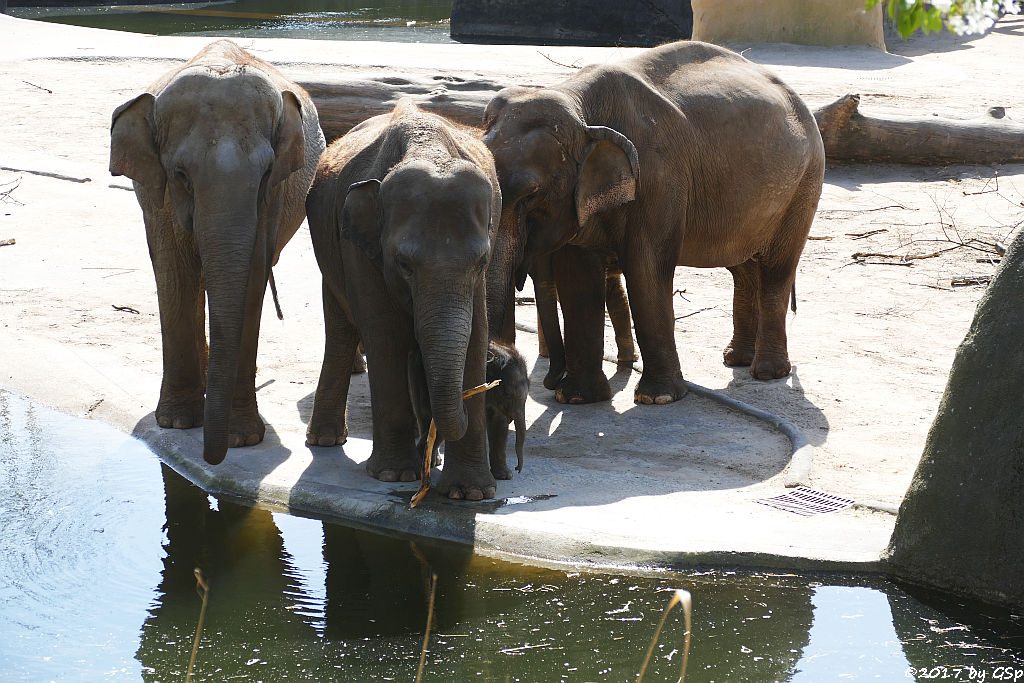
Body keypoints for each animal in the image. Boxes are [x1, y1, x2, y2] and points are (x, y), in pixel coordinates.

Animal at [109, 40, 323, 466]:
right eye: (181, 176)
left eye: (266, 173)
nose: (213, 458)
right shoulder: (156, 194)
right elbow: (174, 271)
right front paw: (176, 423)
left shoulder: (272, 197)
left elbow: (252, 276)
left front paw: (242, 439)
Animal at [301, 97, 497, 501]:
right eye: (403, 263)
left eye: (482, 261)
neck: (428, 147)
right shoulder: (360, 248)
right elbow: (384, 335)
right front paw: (393, 475)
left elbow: (475, 336)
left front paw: (470, 493)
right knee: (341, 327)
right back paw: (326, 441)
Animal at [483, 40, 827, 405]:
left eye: (531, 194)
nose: (549, 381)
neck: (580, 105)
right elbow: (577, 277)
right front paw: (577, 398)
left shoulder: (658, 178)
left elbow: (645, 269)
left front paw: (658, 398)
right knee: (742, 266)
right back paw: (736, 358)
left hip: (806, 183)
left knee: (777, 267)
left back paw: (767, 372)